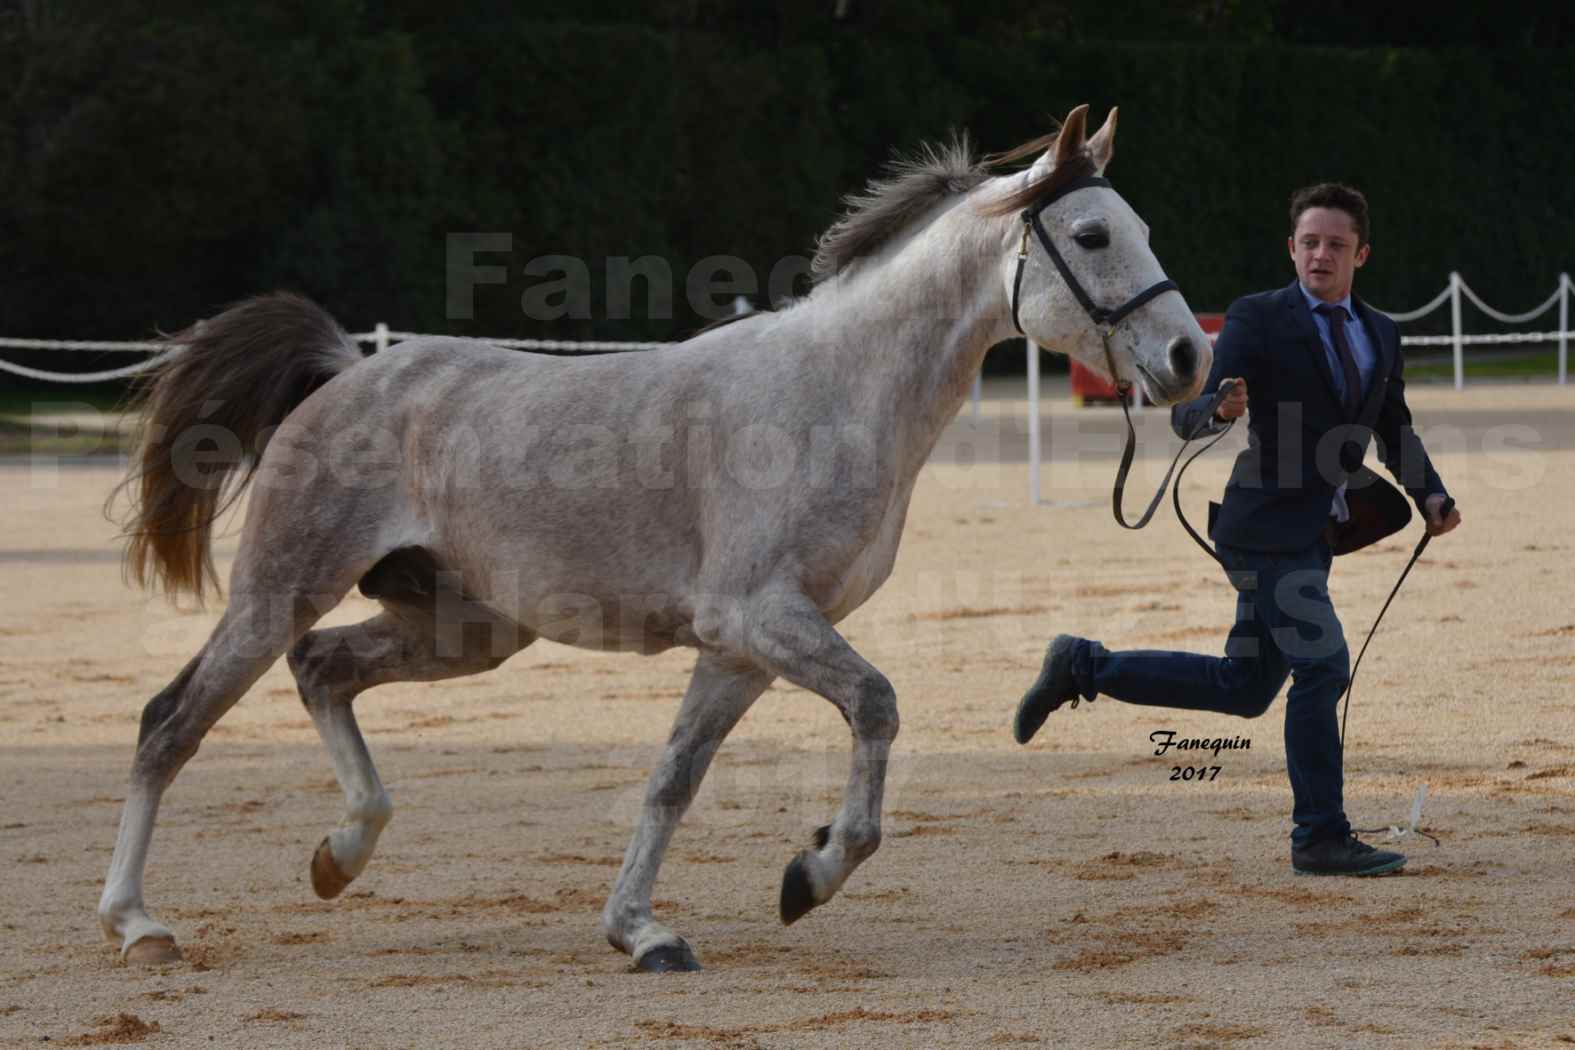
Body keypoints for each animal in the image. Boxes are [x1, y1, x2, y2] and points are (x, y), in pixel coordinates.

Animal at [98, 104, 1203, 969]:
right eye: (1093, 235)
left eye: (1144, 227)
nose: (1192, 359)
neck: (833, 394)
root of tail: (343, 370)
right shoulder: (762, 618)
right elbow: (878, 707)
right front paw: (813, 872)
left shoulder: (741, 650)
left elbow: (674, 779)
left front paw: (644, 931)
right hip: (279, 592)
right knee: (169, 723)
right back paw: (139, 924)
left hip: (464, 630)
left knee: (323, 670)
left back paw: (343, 854)